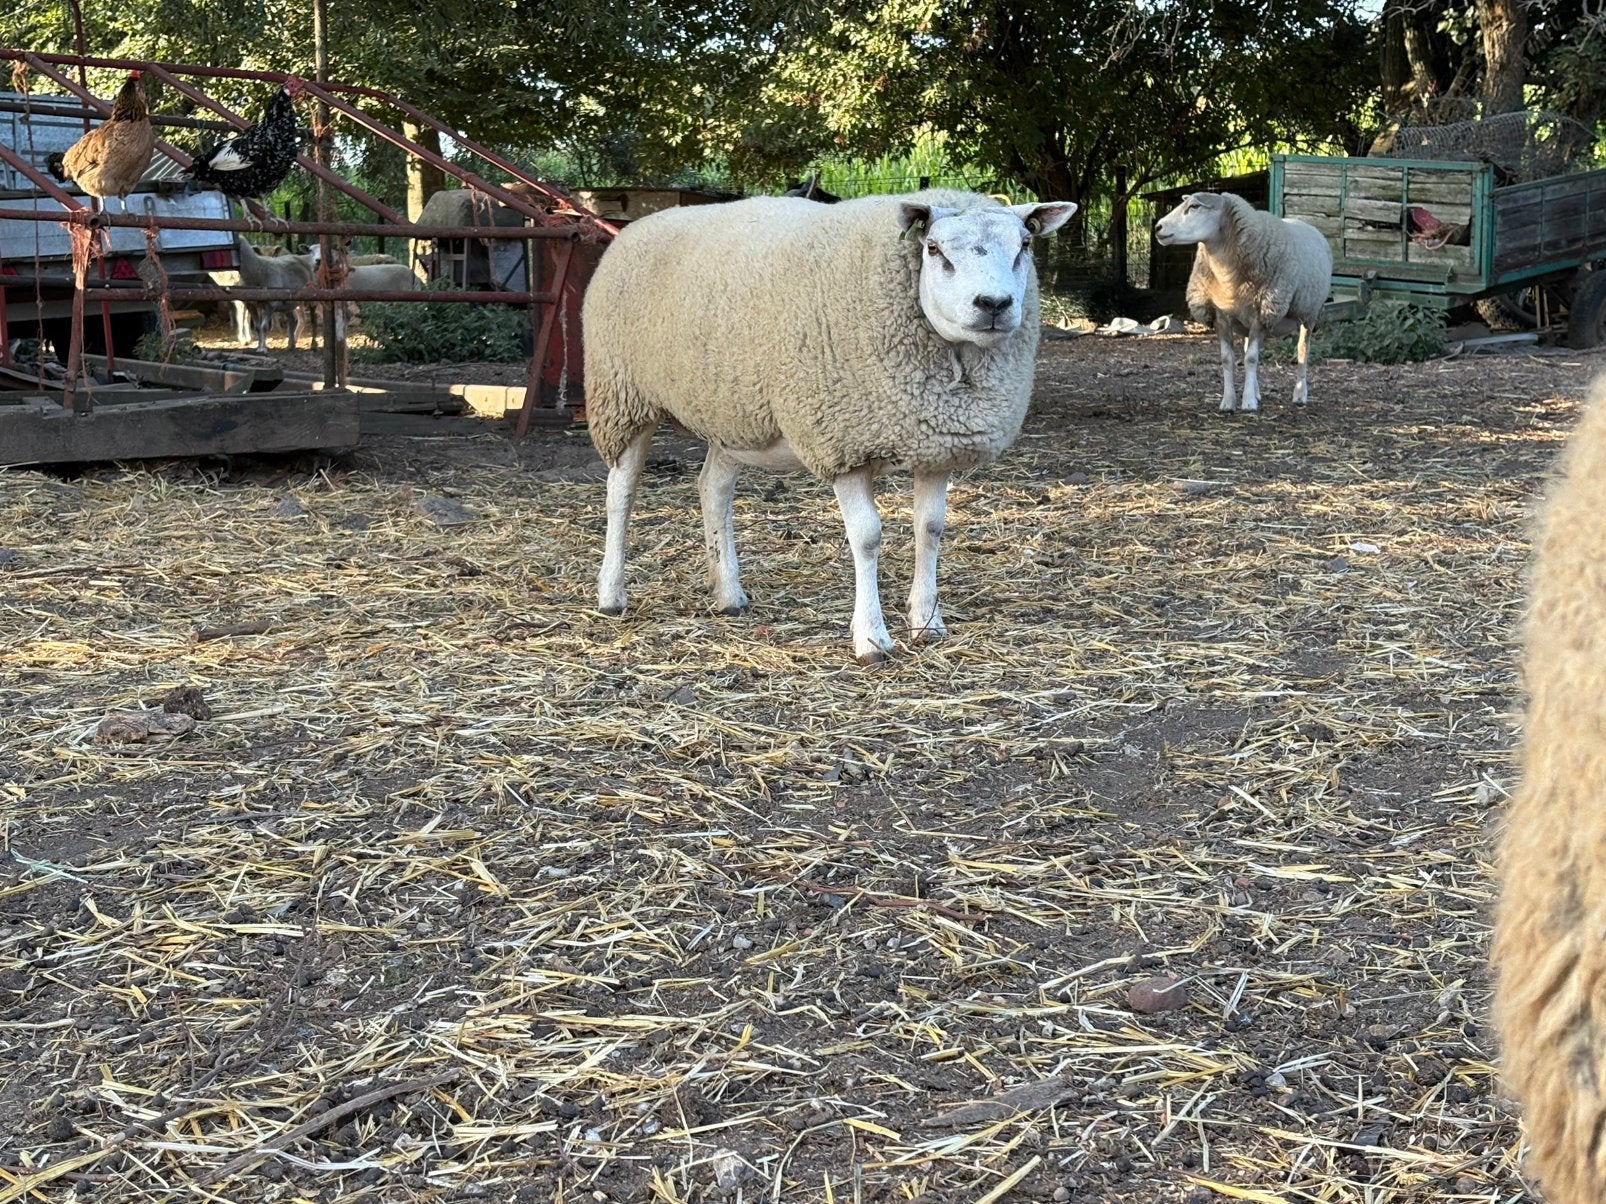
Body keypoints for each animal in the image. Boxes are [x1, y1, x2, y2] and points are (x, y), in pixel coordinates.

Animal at [583, 188, 1077, 664]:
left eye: (1025, 245)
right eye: (934, 249)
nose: (993, 304)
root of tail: (637, 227)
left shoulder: (934, 444)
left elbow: (931, 528)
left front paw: (927, 623)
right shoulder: (842, 442)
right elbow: (867, 537)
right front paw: (872, 640)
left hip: (734, 413)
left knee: (713, 488)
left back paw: (728, 593)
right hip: (621, 395)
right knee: (621, 494)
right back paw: (612, 595)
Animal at [1153, 192, 1332, 413]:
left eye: (1194, 206)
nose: (1158, 227)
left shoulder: (1262, 314)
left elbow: (1252, 359)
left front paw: (1248, 403)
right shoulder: (1220, 317)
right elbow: (1228, 359)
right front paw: (1228, 402)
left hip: (1310, 314)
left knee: (1302, 351)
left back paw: (1299, 394)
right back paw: (1257, 392)